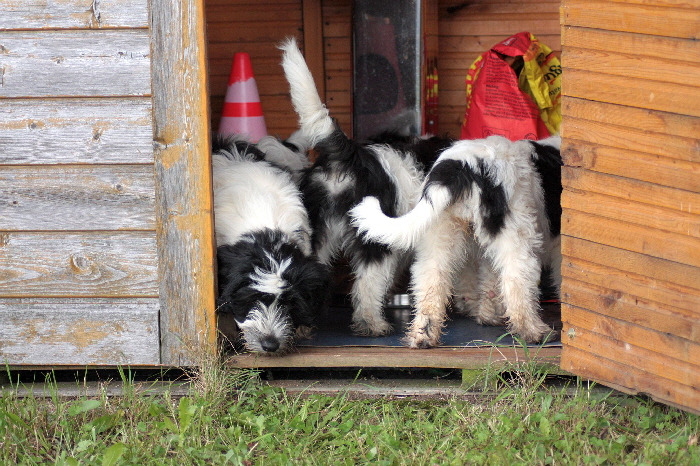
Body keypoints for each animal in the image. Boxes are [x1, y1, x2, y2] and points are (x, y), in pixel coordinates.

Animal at [276, 36, 452, 334]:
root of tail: (350, 155)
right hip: (372, 239)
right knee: (367, 284)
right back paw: (372, 323)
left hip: (314, 233)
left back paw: (304, 327)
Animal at [350, 134, 564, 346]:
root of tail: (459, 166)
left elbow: (489, 282)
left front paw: (488, 316)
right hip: (516, 236)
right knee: (517, 281)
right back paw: (535, 332)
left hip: (439, 231)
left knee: (431, 280)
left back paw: (423, 336)